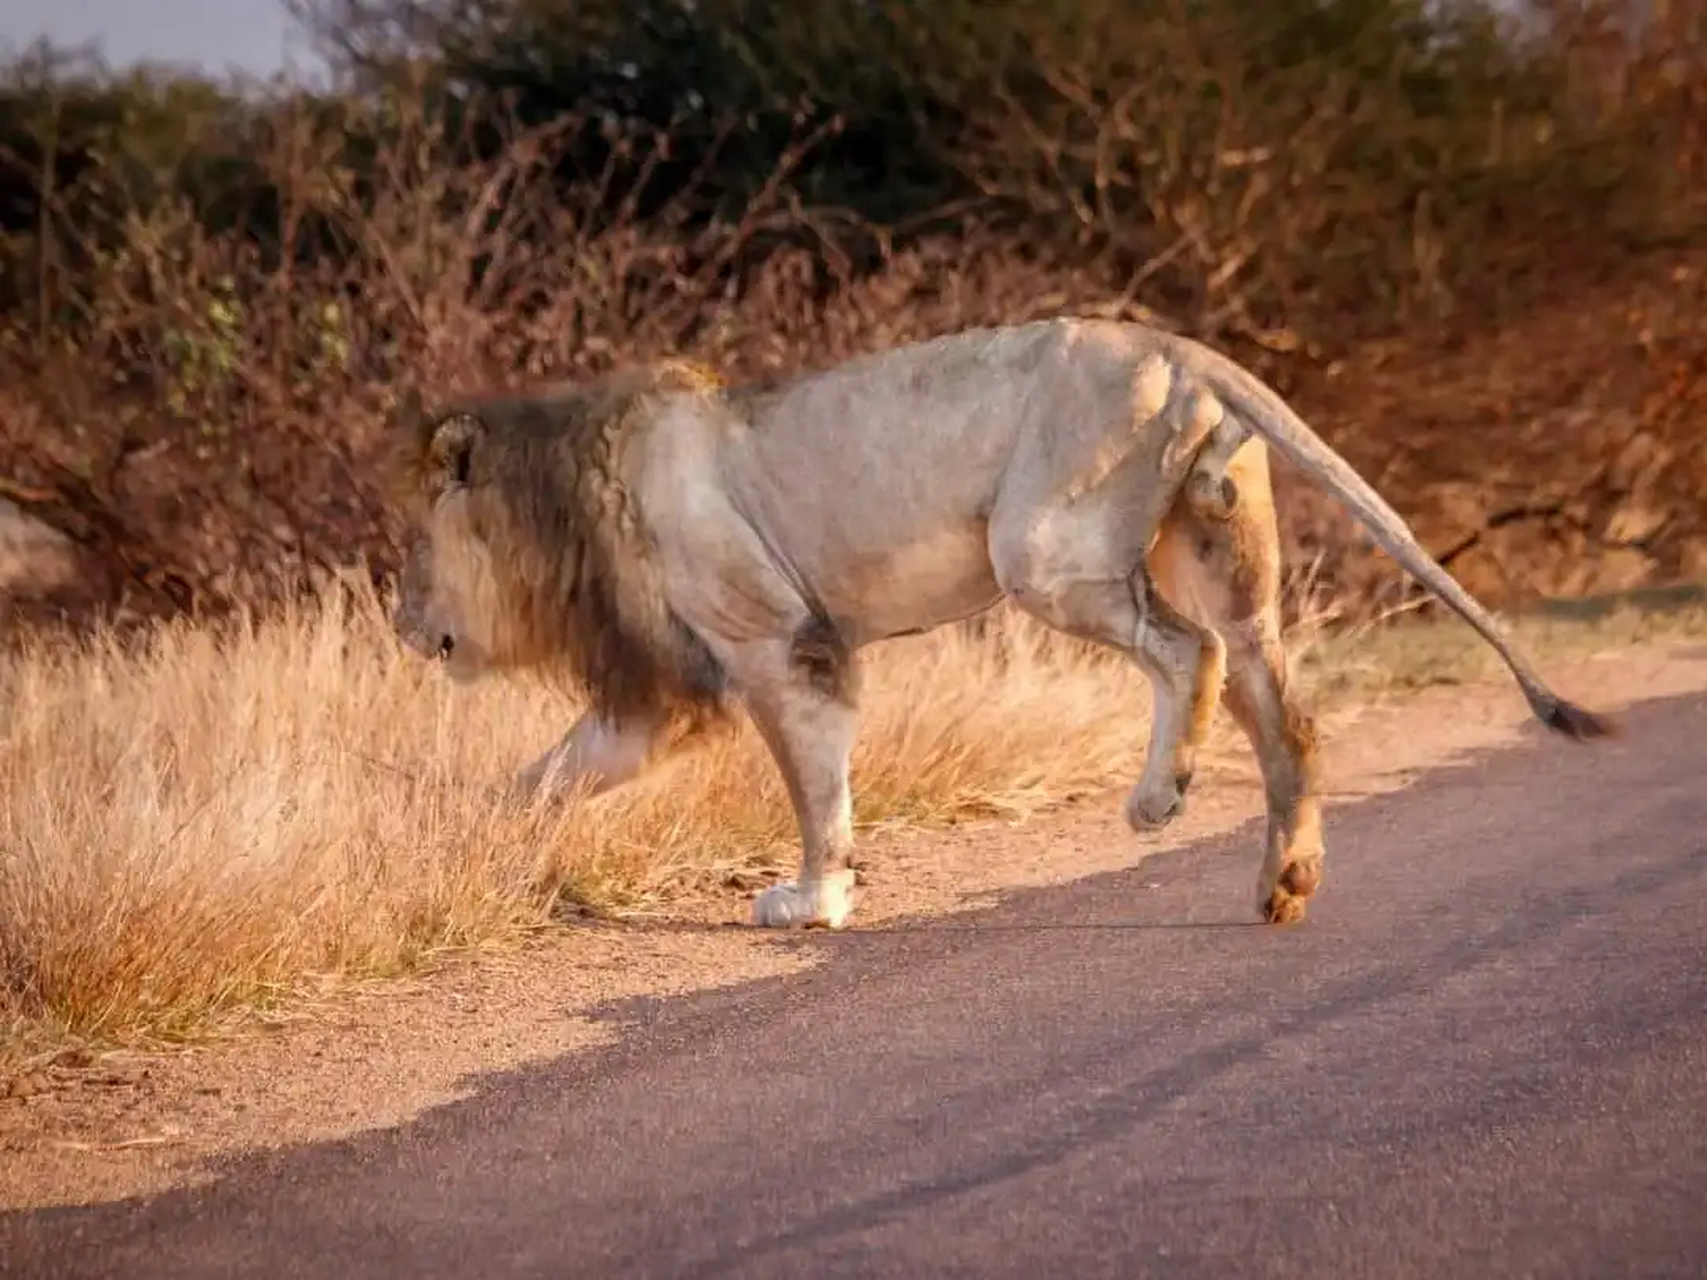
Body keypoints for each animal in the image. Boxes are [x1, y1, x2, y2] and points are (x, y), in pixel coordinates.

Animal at [387, 319, 1611, 935]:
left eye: (407, 547)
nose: (398, 624)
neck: (568, 492)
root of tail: (1178, 349)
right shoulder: (660, 692)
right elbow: (545, 775)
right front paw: (459, 840)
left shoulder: (777, 643)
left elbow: (814, 789)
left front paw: (812, 900)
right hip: (1219, 553)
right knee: (1285, 714)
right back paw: (1284, 883)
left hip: (1043, 547)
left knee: (1193, 654)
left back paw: (1160, 796)